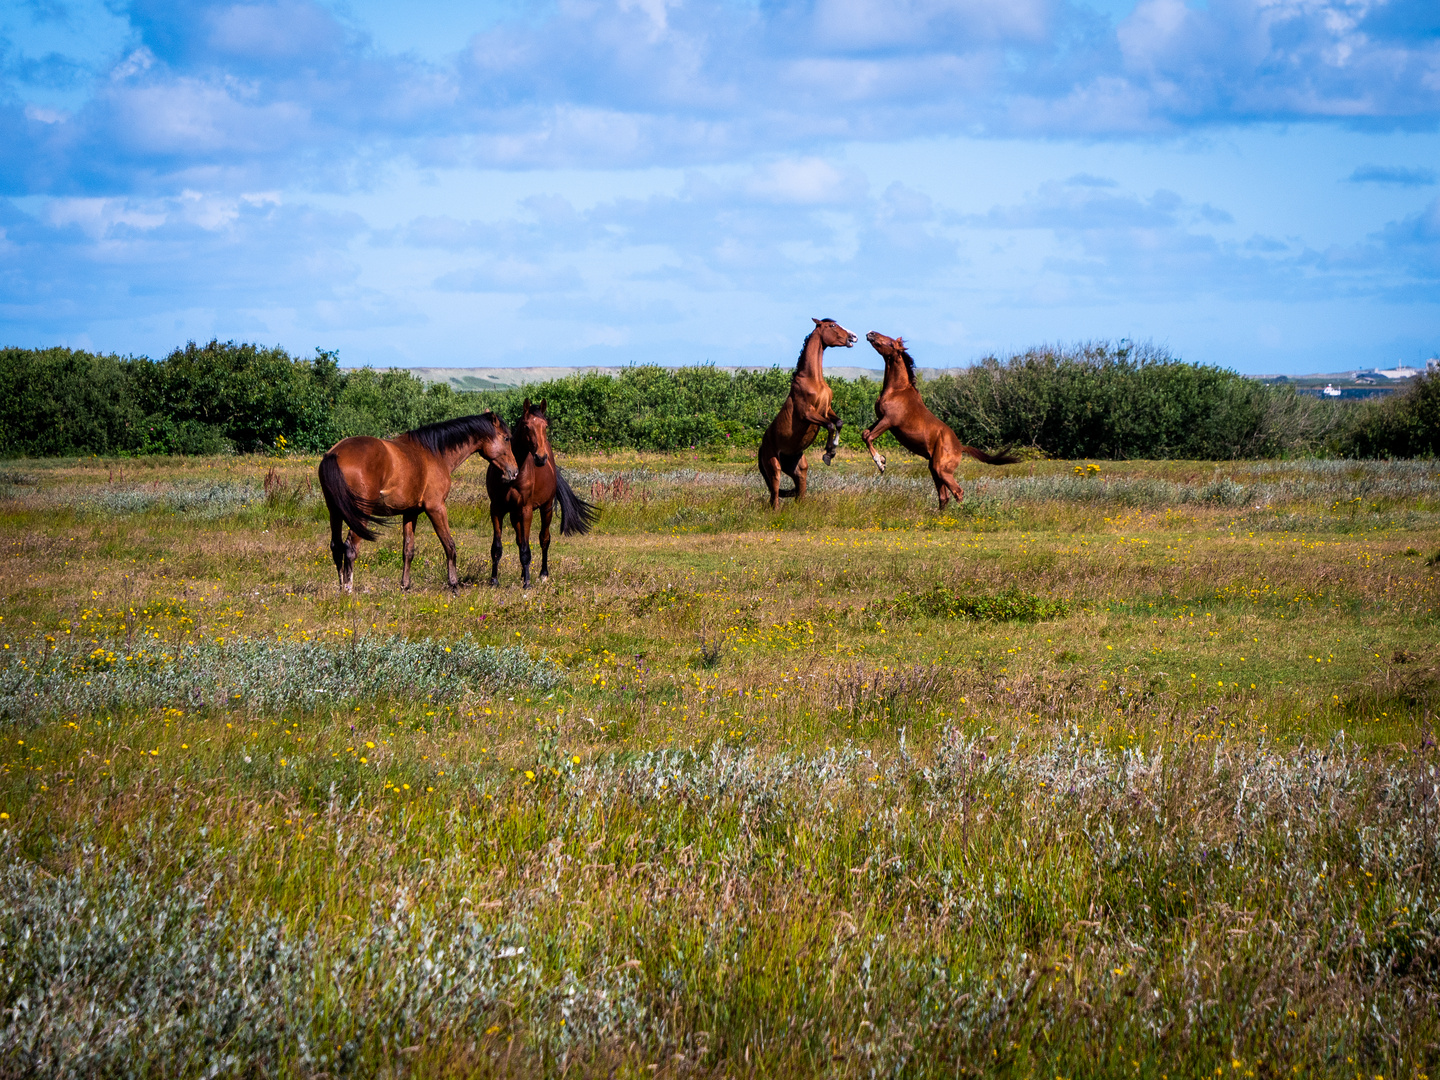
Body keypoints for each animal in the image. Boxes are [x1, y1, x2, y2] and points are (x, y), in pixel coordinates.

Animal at [318, 411, 521, 596]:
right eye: (506, 438)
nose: (514, 471)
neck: (434, 453)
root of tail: (335, 454)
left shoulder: (410, 513)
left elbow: (408, 550)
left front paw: (405, 586)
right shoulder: (436, 508)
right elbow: (450, 546)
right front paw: (454, 585)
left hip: (335, 511)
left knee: (336, 546)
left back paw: (340, 588)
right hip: (360, 514)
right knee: (350, 548)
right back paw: (348, 590)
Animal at [486, 397, 593, 587]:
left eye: (545, 426)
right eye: (526, 426)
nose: (540, 458)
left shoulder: (526, 510)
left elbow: (527, 549)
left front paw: (528, 584)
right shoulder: (496, 509)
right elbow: (497, 547)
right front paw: (494, 581)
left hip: (546, 508)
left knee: (544, 539)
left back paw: (543, 574)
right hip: (515, 514)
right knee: (520, 540)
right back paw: (523, 574)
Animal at [754, 316, 852, 512]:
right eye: (832, 325)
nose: (853, 337)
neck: (813, 380)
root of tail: (761, 447)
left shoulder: (827, 410)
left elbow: (838, 422)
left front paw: (832, 451)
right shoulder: (808, 414)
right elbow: (830, 425)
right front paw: (828, 453)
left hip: (798, 467)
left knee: (799, 488)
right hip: (773, 464)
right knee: (774, 494)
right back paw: (777, 512)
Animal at [858, 329, 1019, 512]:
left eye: (891, 343)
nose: (871, 333)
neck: (897, 390)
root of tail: (960, 447)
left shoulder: (888, 421)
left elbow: (869, 437)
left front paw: (881, 463)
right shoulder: (880, 419)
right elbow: (864, 434)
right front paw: (883, 460)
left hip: (942, 470)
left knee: (958, 492)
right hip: (934, 469)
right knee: (944, 496)